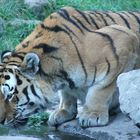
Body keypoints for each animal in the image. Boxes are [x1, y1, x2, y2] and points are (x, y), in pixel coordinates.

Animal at [0, 18, 139, 128]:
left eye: (11, 96)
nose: (1, 121)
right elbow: (66, 94)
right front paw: (63, 111)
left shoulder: (123, 42)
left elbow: (101, 90)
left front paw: (92, 116)